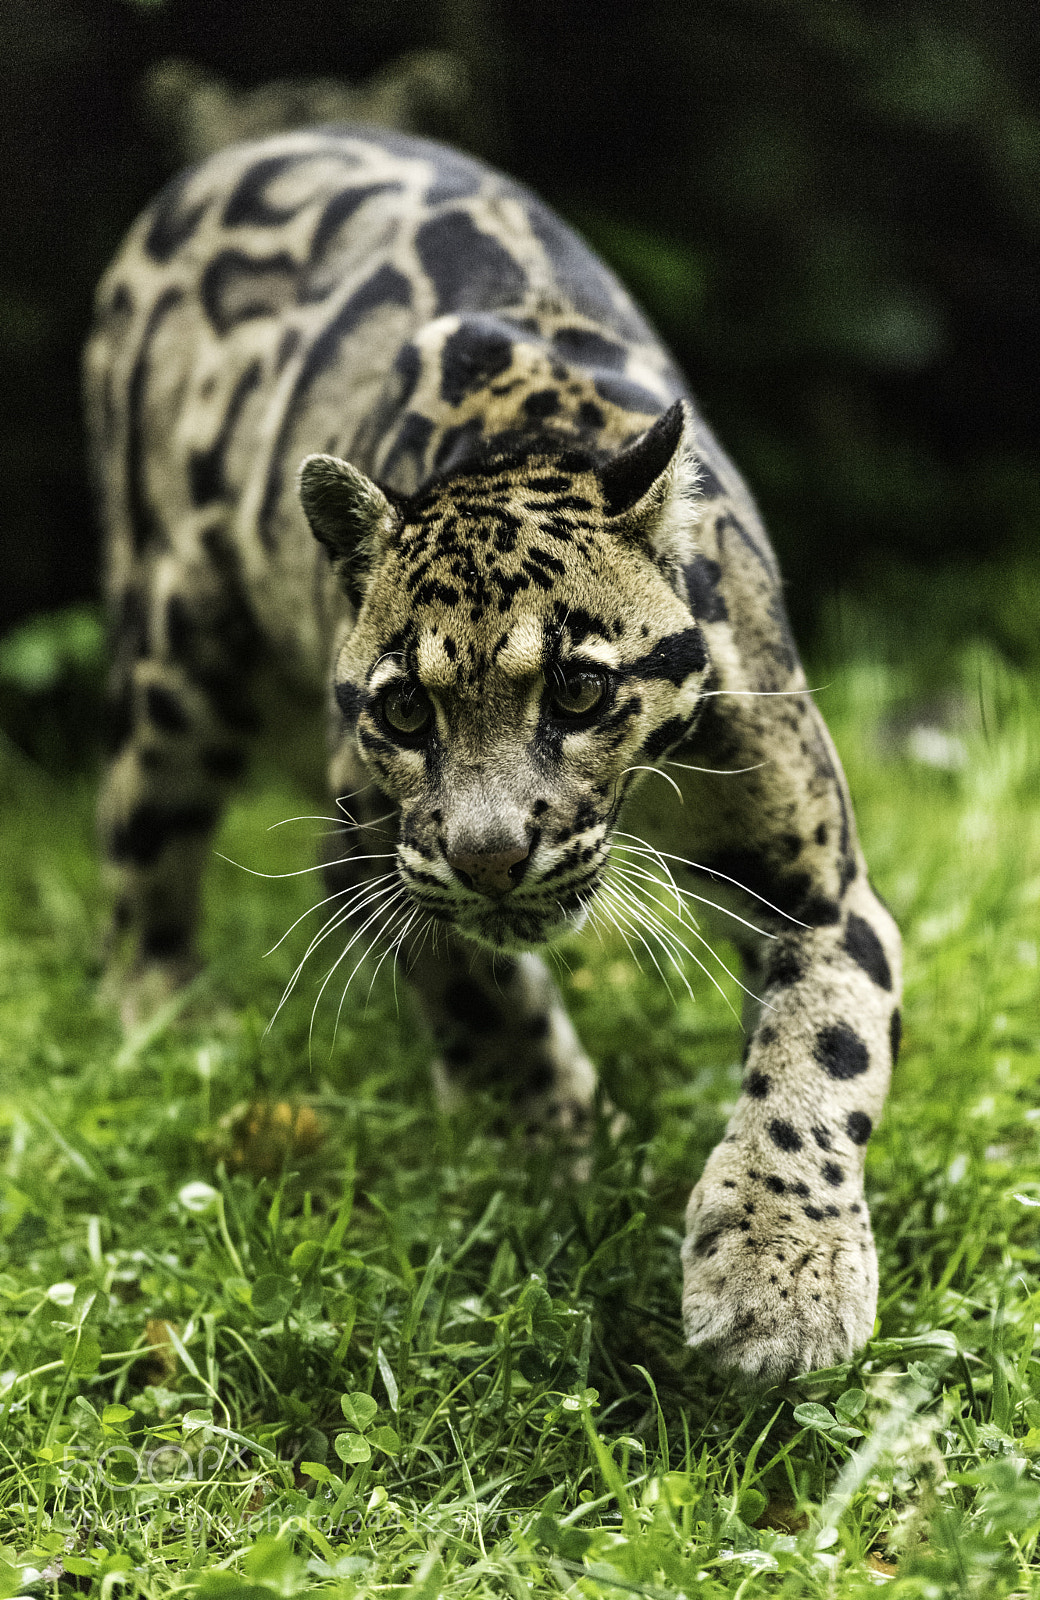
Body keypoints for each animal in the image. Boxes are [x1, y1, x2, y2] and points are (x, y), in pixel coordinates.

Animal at [84, 125, 902, 1385]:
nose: (487, 855)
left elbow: (817, 1057)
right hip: (172, 643)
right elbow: (479, 993)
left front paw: (779, 1276)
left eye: (578, 688)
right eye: (403, 712)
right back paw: (166, 1023)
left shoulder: (818, 883)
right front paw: (551, 1144)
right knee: (143, 850)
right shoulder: (377, 854)